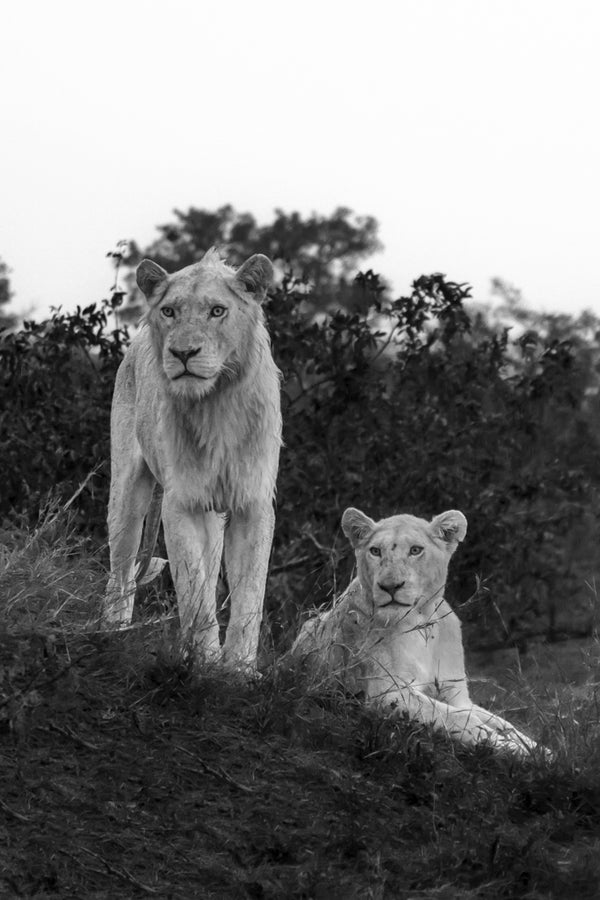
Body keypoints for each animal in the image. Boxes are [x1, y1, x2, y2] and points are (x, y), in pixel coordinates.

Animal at [105, 246, 282, 668]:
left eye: (217, 311)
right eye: (170, 311)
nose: (183, 353)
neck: (216, 402)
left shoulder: (252, 503)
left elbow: (250, 595)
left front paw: (240, 668)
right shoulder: (181, 503)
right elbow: (195, 593)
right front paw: (205, 662)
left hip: (213, 516)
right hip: (127, 496)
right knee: (120, 572)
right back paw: (112, 635)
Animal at [292, 510, 540, 756]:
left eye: (415, 550)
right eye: (375, 551)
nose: (390, 586)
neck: (424, 623)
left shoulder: (457, 694)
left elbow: (503, 723)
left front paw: (539, 751)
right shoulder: (386, 693)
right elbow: (456, 717)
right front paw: (508, 747)